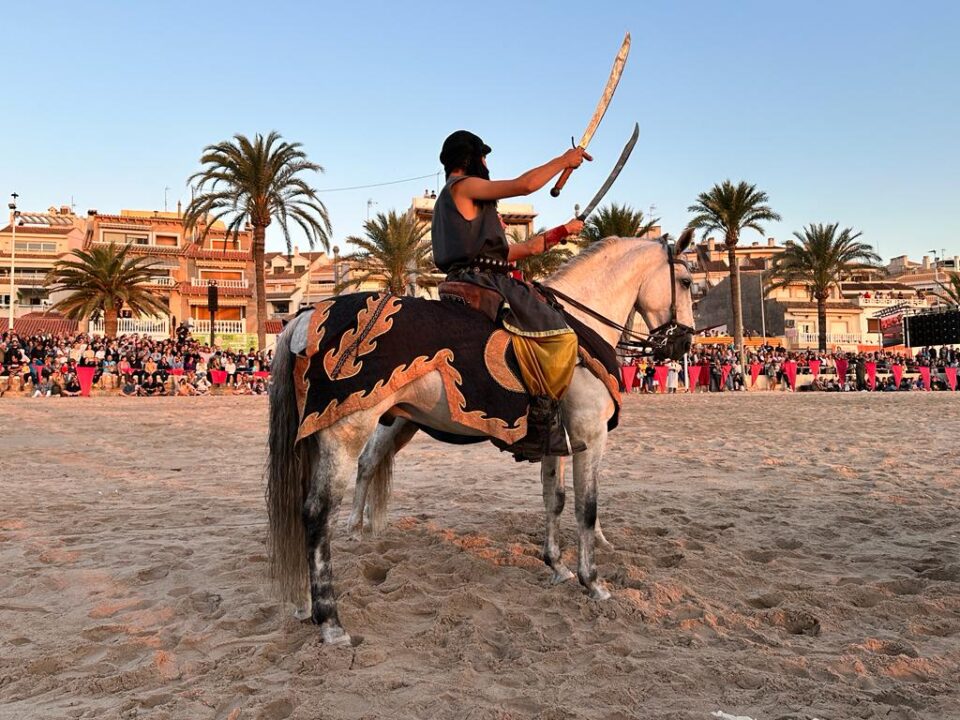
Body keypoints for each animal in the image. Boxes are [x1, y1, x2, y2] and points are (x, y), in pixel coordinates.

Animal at [266, 231, 695, 644]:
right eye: (688, 282)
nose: (685, 344)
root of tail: (307, 316)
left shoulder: (557, 441)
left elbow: (554, 500)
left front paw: (556, 565)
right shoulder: (590, 435)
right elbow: (585, 509)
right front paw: (593, 582)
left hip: (371, 429)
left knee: (335, 488)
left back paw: (318, 588)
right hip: (348, 429)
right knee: (319, 512)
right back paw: (330, 619)